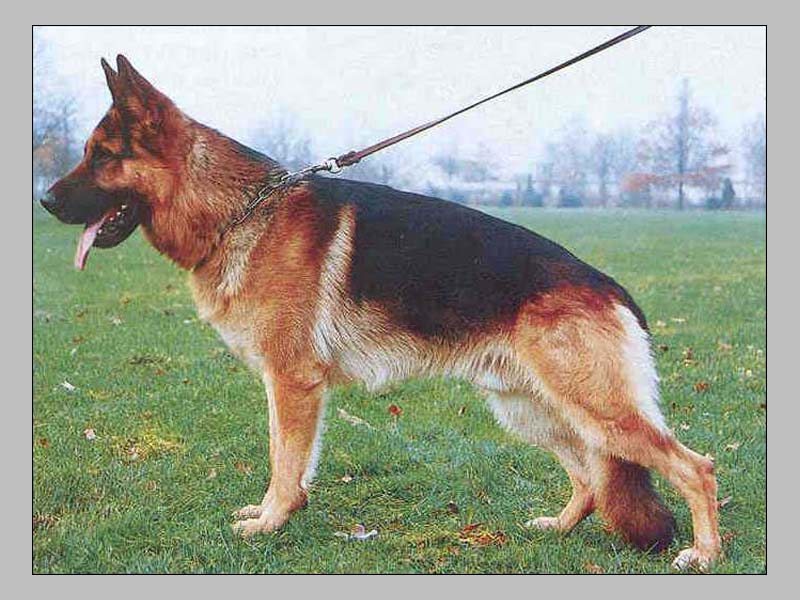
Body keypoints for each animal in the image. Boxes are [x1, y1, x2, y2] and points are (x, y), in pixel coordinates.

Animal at [40, 55, 721, 571]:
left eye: (102, 157)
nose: (43, 200)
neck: (237, 211)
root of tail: (612, 289)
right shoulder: (284, 386)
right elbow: (283, 455)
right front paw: (277, 513)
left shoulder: (293, 383)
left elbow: (284, 460)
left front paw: (272, 520)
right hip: (530, 410)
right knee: (591, 479)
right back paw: (560, 525)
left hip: (596, 411)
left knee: (696, 468)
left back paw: (705, 553)